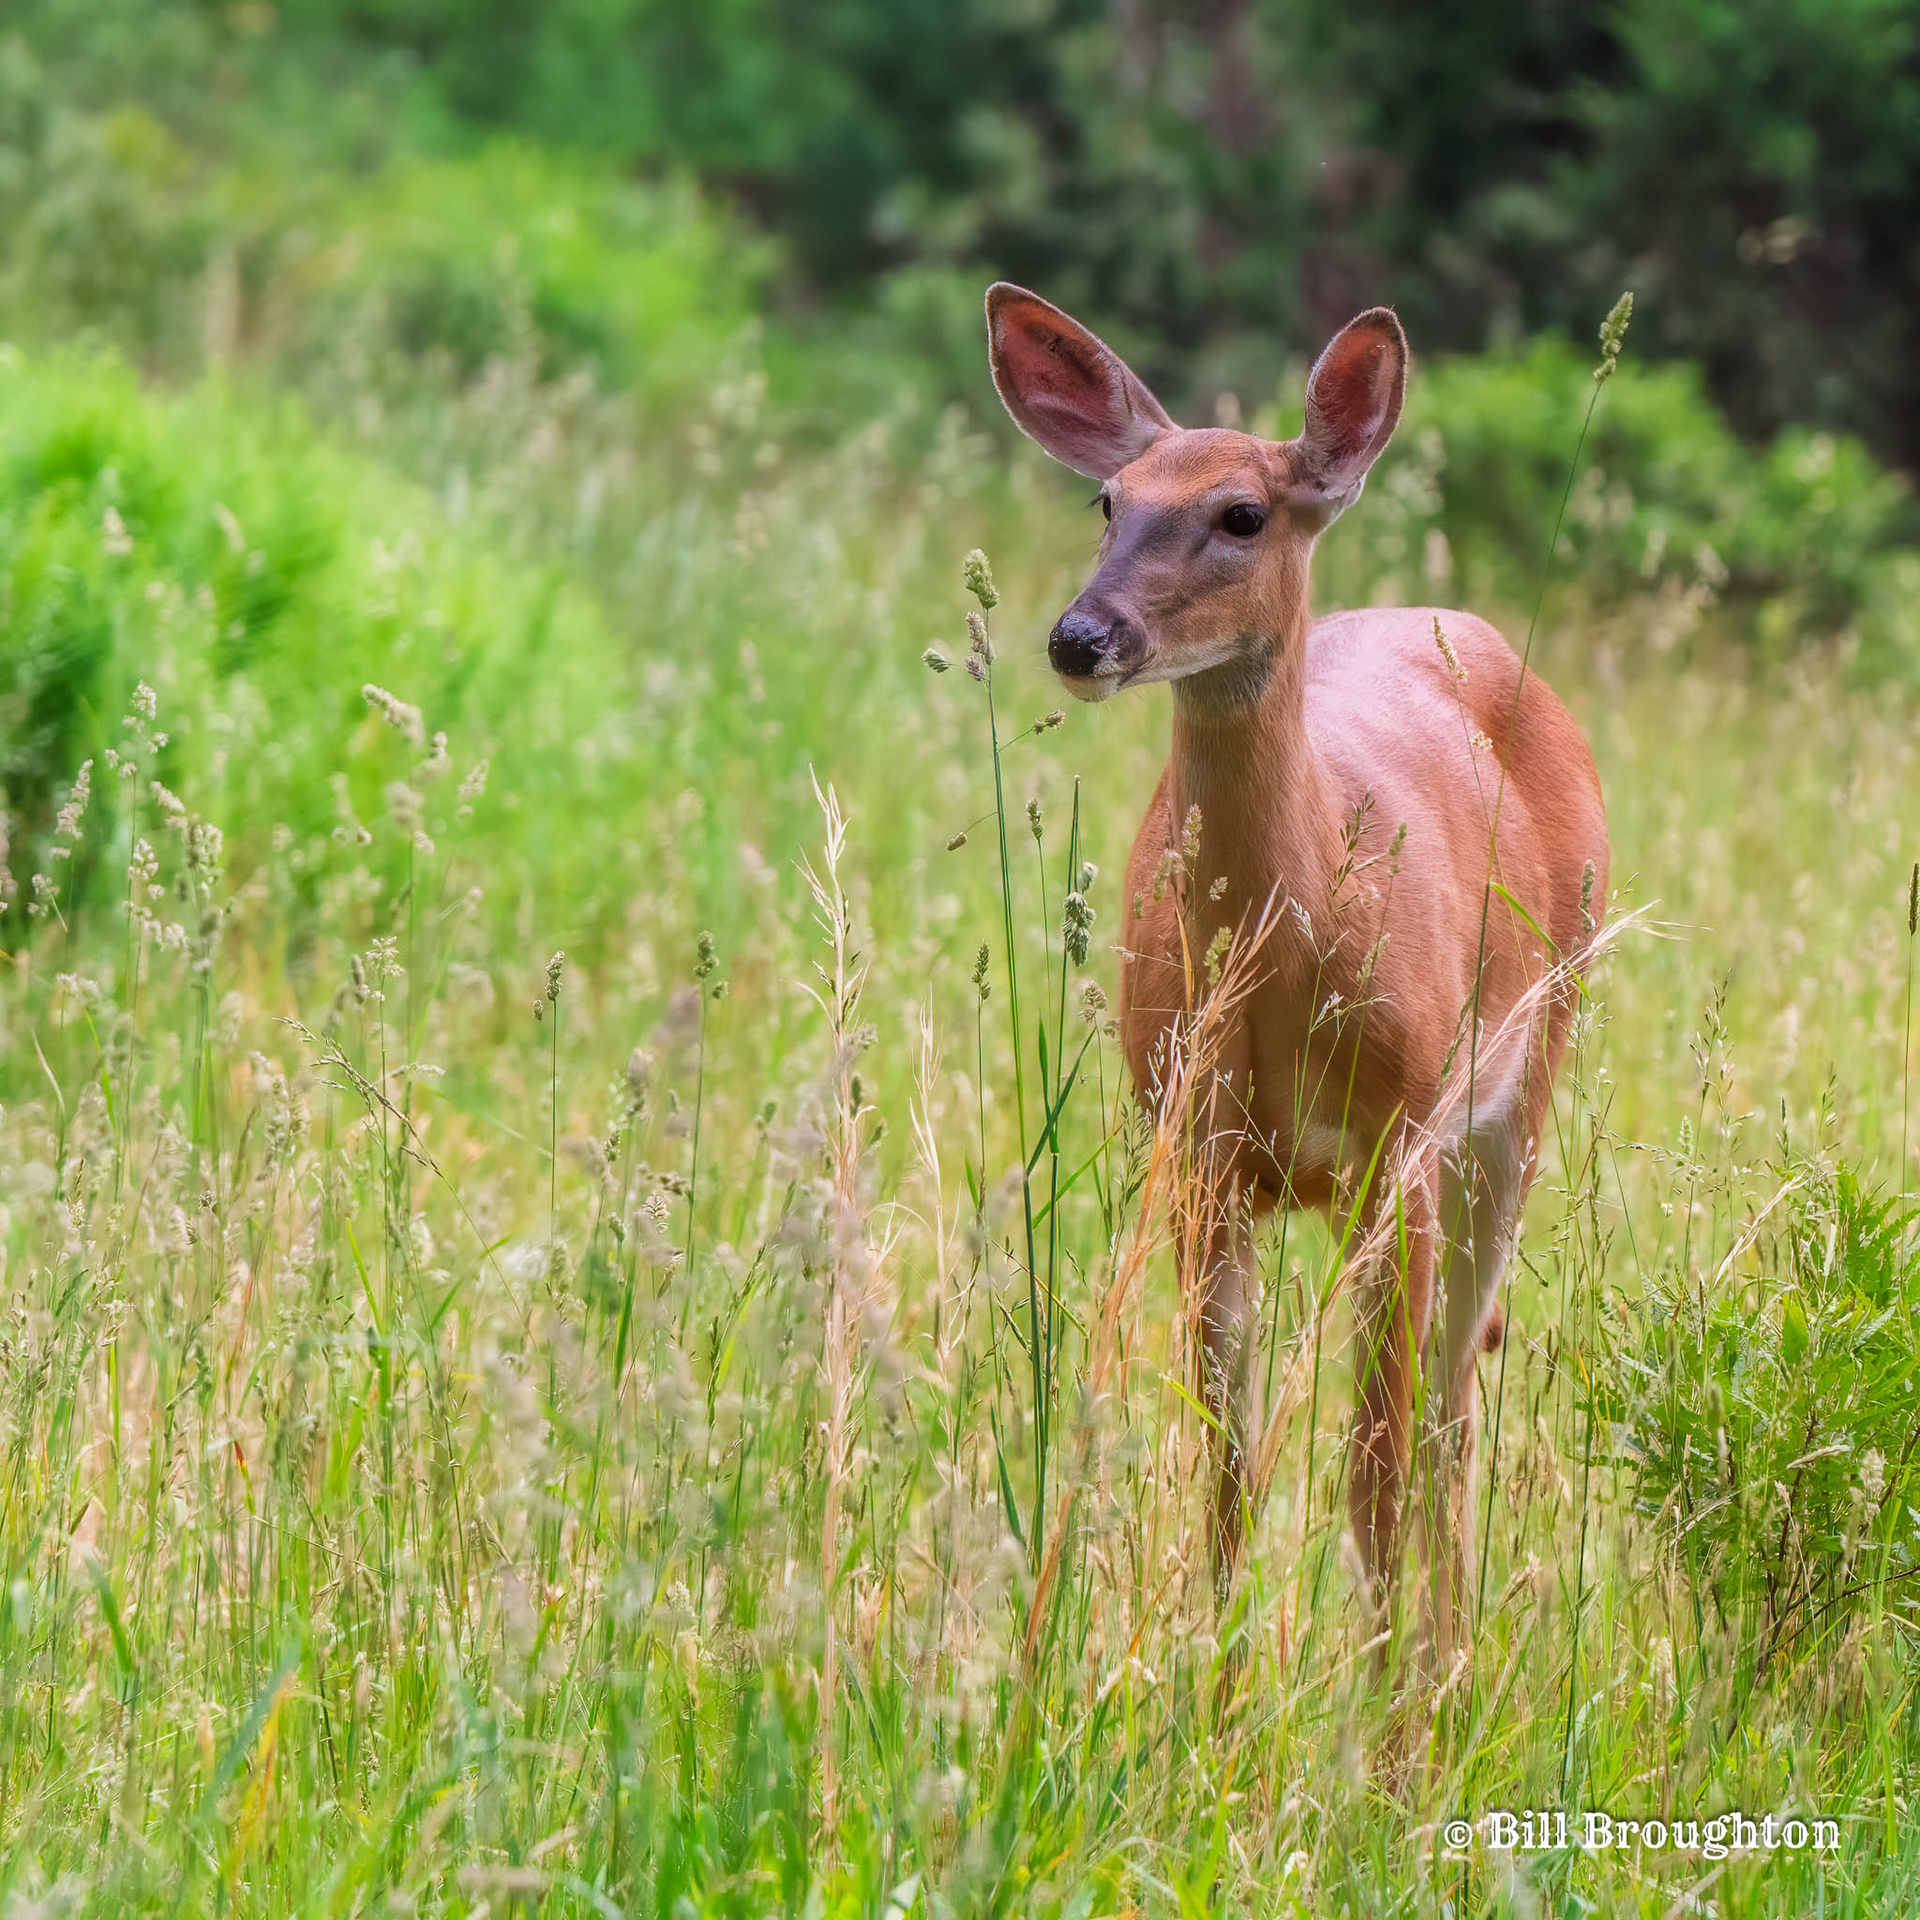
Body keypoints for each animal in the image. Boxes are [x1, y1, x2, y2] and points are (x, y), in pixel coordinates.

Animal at [985, 283, 1609, 1664]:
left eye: (1242, 514)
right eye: (1108, 500)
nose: (1080, 636)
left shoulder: (1397, 1146)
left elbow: (1373, 1471)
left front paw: (1386, 1712)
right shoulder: (1197, 1151)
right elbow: (1227, 1465)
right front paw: (1208, 1691)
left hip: (1528, 1075)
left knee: (1452, 1400)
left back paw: (1448, 1663)